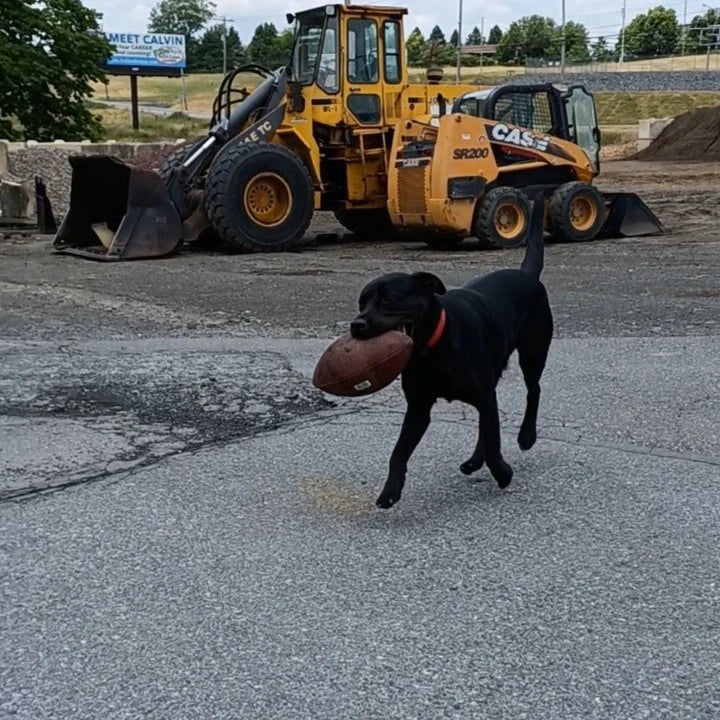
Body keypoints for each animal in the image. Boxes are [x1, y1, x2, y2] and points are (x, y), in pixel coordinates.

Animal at [350, 196, 553, 508]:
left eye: (389, 299)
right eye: (362, 303)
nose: (357, 324)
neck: (432, 348)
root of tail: (526, 275)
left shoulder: (482, 395)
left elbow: (494, 442)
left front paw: (502, 473)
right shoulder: (419, 407)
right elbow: (398, 452)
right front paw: (390, 490)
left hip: (533, 352)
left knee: (534, 390)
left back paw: (526, 435)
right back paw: (474, 460)